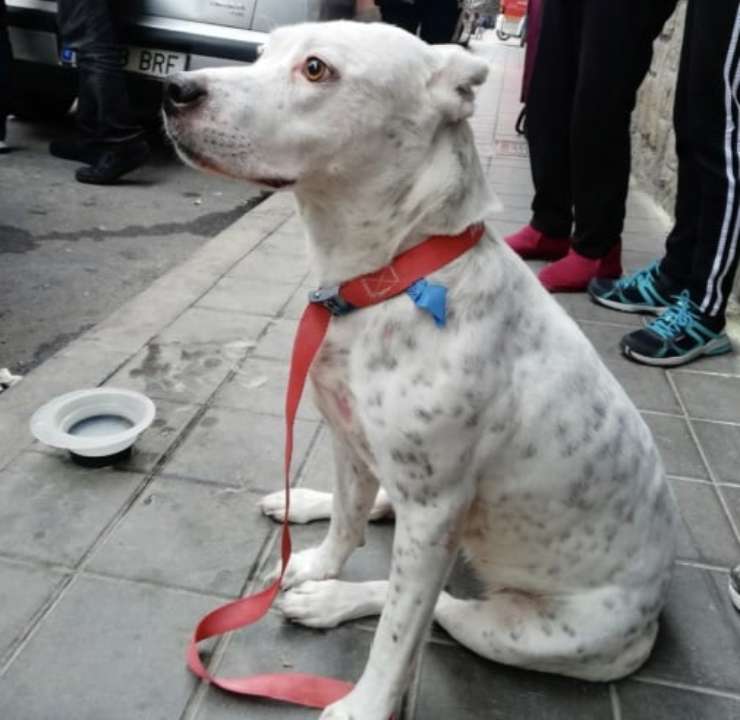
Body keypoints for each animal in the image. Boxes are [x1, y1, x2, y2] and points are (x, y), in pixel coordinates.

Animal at [165, 22, 680, 720]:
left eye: (317, 69)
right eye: (261, 52)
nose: (176, 90)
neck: (389, 276)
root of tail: (652, 618)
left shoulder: (435, 513)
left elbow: (398, 632)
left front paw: (363, 703)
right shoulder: (344, 434)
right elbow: (349, 518)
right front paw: (319, 563)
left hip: (524, 630)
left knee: (434, 606)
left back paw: (337, 603)